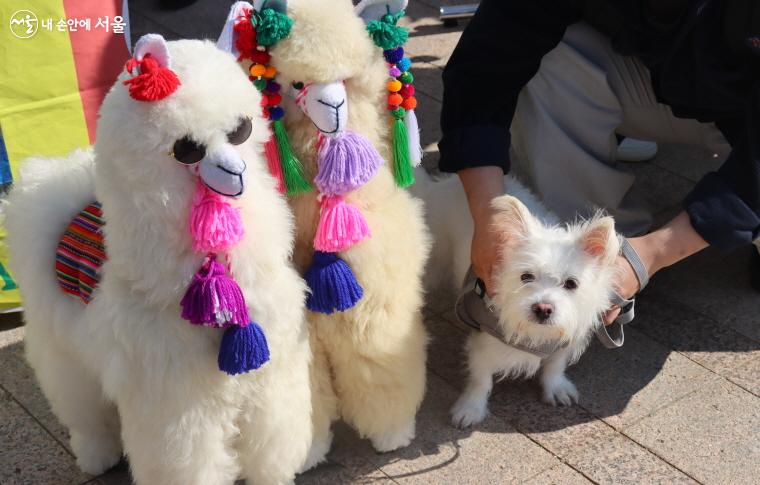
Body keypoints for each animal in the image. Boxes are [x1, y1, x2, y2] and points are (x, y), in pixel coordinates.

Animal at [4, 36, 316, 482]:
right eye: (187, 149)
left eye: (240, 130)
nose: (236, 171)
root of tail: (60, 189)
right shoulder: (178, 404)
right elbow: (190, 461)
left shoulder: (270, 375)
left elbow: (271, 440)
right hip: (65, 354)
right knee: (84, 411)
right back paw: (96, 455)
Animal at [412, 170, 620, 428]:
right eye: (526, 277)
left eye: (571, 283)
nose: (543, 308)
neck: (537, 336)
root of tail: (443, 184)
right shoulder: (484, 341)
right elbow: (480, 379)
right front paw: (471, 408)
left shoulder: (565, 339)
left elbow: (555, 365)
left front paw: (556, 387)